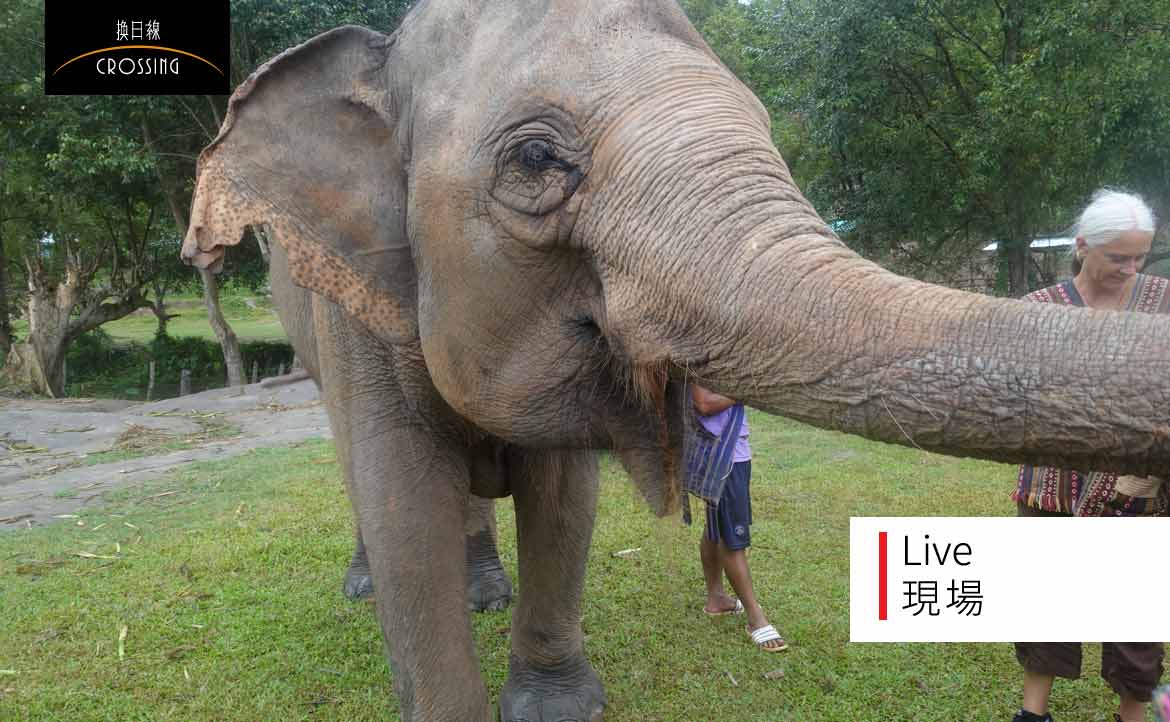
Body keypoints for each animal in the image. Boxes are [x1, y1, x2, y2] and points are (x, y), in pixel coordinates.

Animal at [181, 2, 1170, 720]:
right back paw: (370, 582)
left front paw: (559, 710)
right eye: (534, 157)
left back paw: (489, 592)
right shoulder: (358, 297)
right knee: (353, 461)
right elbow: (402, 504)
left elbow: (562, 498)